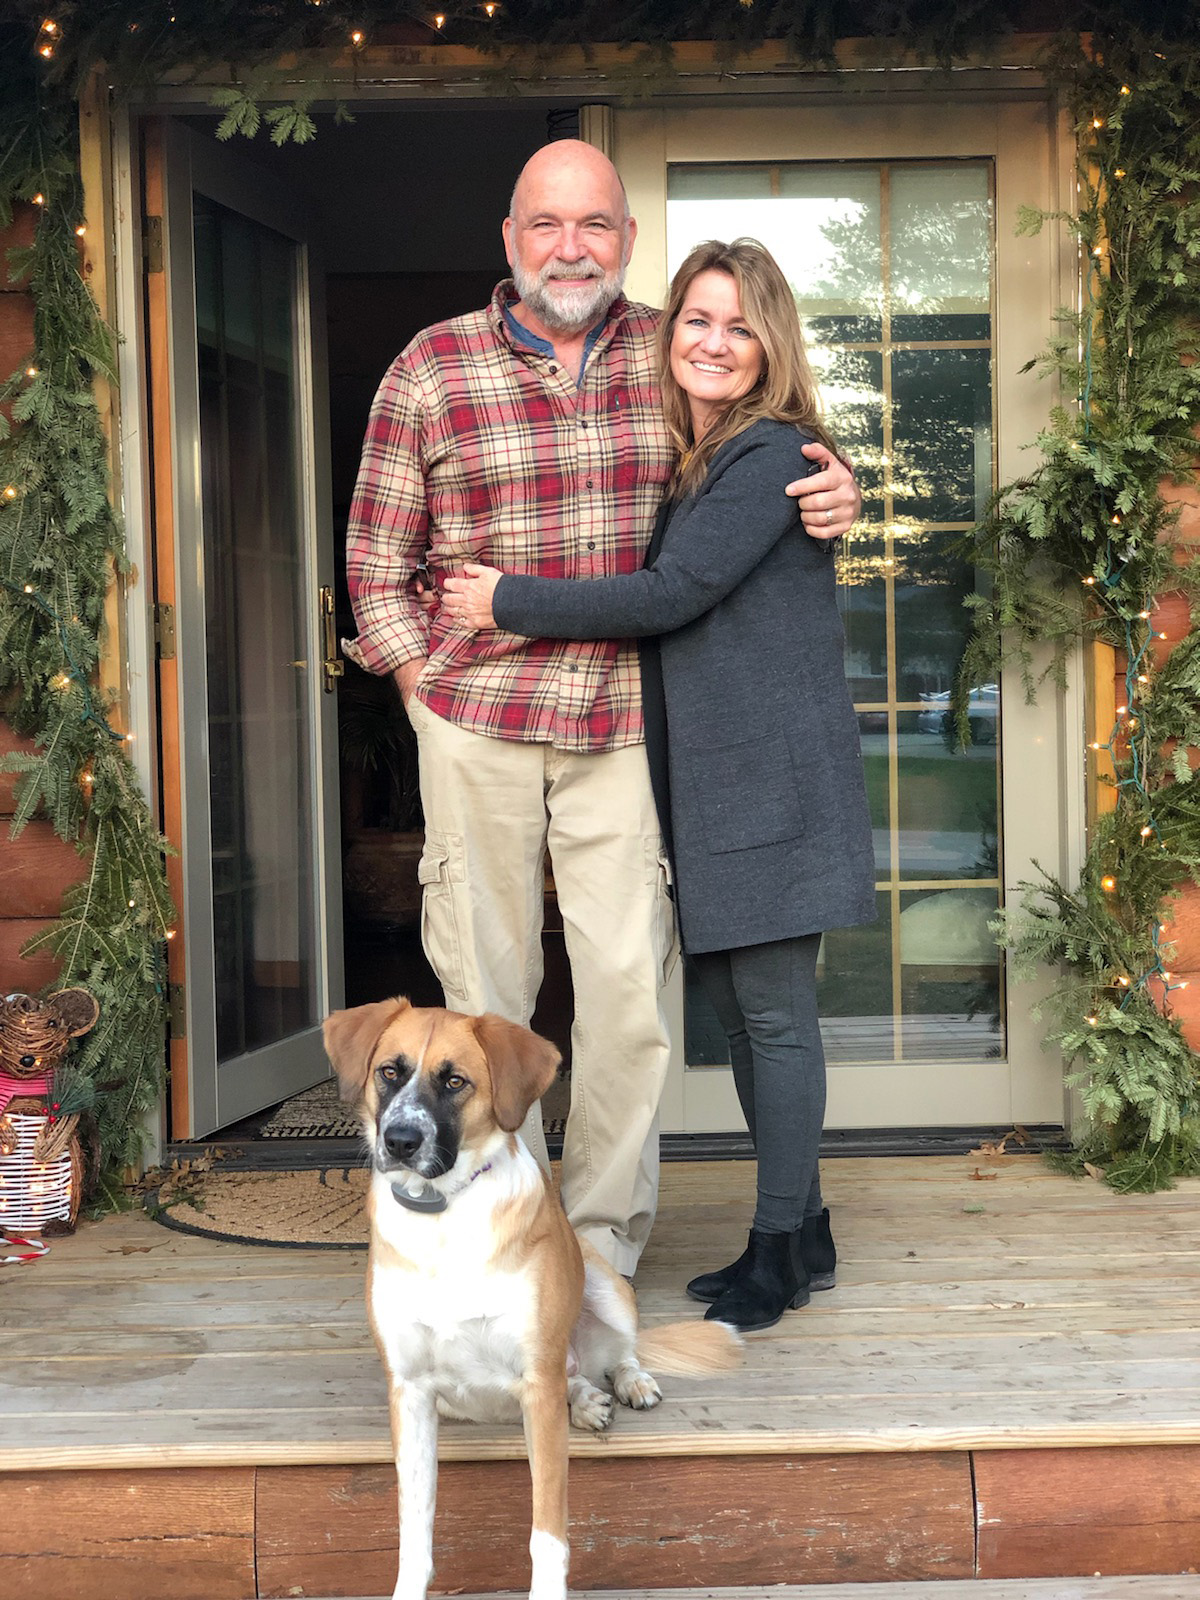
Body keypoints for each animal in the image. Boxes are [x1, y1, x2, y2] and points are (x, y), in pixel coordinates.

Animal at [329, 998, 742, 1600]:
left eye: (455, 1081)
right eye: (389, 1072)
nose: (400, 1141)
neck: (442, 1217)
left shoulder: (537, 1386)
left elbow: (547, 1533)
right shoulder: (410, 1393)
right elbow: (414, 1529)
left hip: (604, 1286)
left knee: (620, 1351)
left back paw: (626, 1383)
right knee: (576, 1374)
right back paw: (587, 1399)